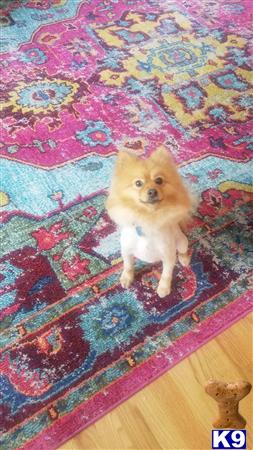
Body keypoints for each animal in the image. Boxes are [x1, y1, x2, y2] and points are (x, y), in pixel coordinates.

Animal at [106, 146, 192, 298]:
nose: (152, 191)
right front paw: (127, 278)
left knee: (183, 251)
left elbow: (166, 274)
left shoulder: (169, 256)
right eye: (138, 183)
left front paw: (164, 288)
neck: (147, 220)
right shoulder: (126, 250)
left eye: (159, 180)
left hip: (182, 242)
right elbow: (128, 266)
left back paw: (184, 259)